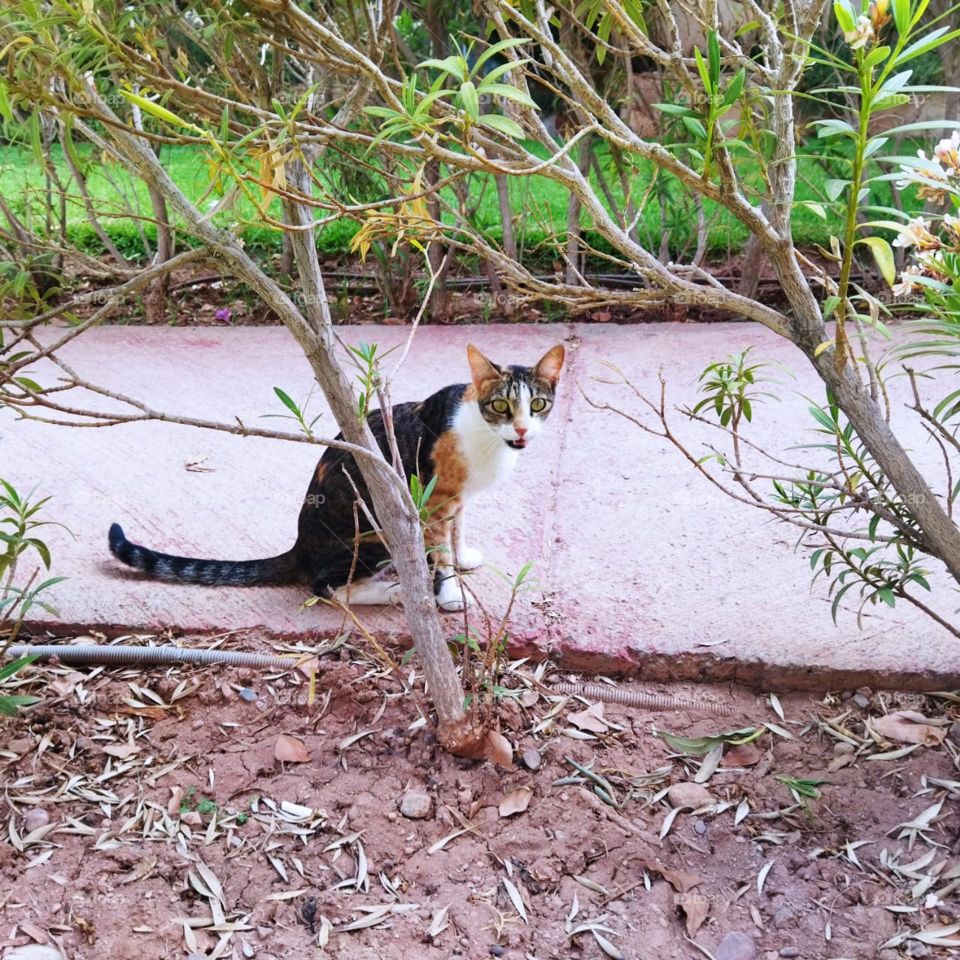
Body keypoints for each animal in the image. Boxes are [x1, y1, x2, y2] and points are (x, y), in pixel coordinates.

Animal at [109, 344, 568, 612]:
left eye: (538, 404)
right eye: (501, 406)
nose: (522, 430)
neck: (487, 439)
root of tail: (300, 546)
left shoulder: (458, 499)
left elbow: (457, 533)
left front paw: (464, 555)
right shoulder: (434, 501)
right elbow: (442, 552)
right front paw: (451, 592)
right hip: (376, 528)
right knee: (325, 587)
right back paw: (394, 591)